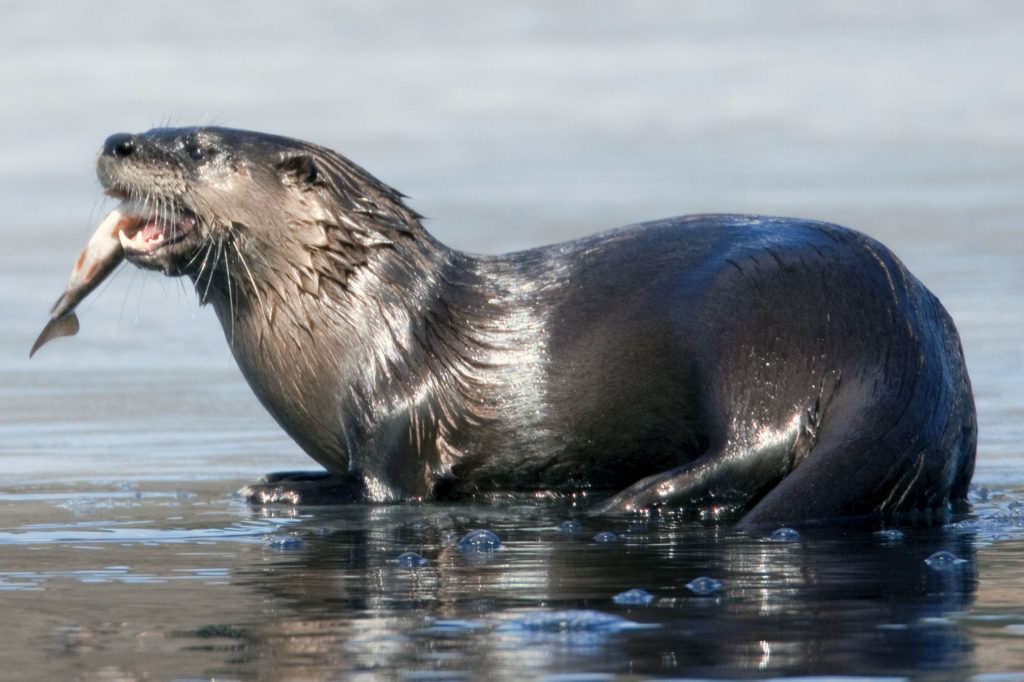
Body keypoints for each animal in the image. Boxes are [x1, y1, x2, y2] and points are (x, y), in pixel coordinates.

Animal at [33, 127, 976, 527]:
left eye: (195, 146)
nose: (119, 138)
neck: (359, 318)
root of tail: (908, 344)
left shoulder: (397, 411)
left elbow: (383, 490)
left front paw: (288, 486)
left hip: (760, 319)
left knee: (764, 437)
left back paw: (637, 496)